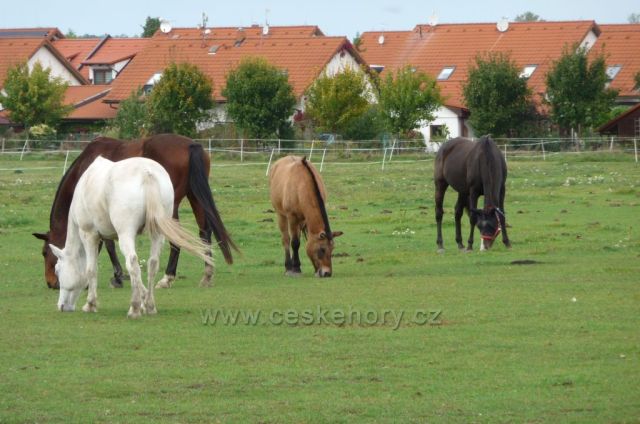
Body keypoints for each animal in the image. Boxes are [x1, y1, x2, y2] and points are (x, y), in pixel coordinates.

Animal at [33, 134, 238, 290]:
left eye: (44, 253)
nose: (51, 283)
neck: (86, 169)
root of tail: (190, 145)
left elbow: (108, 244)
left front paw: (117, 276)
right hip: (194, 196)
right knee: (204, 232)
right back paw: (207, 275)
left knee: (176, 237)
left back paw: (167, 278)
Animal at [50, 156, 215, 318]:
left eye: (57, 270)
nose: (61, 306)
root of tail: (147, 173)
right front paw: (144, 298)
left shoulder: (89, 235)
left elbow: (91, 269)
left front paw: (90, 304)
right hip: (157, 233)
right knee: (152, 264)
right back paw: (150, 306)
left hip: (125, 234)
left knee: (133, 263)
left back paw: (134, 309)